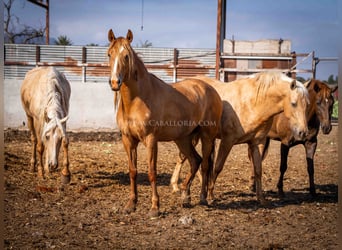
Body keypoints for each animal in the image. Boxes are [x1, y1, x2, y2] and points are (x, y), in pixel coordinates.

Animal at [108, 28, 223, 217]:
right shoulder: (128, 140)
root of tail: (211, 90)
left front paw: (155, 207)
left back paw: (202, 198)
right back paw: (185, 196)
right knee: (195, 161)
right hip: (183, 138)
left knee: (205, 165)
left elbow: (151, 172)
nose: (115, 82)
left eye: (126, 56)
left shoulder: (151, 140)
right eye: (109, 54)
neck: (137, 100)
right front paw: (131, 204)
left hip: (207, 137)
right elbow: (133, 171)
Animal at [171, 73, 310, 205]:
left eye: (307, 105)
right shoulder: (227, 141)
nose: (303, 132)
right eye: (293, 103)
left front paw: (261, 198)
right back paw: (178, 187)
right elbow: (218, 167)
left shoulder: (256, 143)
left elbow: (258, 170)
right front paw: (210, 195)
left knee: (189, 159)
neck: (253, 103)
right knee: (186, 158)